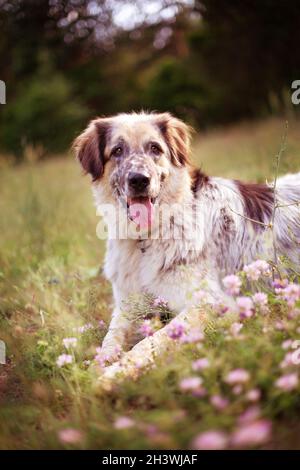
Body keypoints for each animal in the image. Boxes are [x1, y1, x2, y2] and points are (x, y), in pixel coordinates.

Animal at [73, 112, 300, 362]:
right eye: (117, 150)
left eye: (155, 148)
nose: (139, 180)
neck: (146, 239)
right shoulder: (127, 307)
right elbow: (109, 342)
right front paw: (97, 366)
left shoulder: (210, 303)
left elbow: (147, 344)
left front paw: (116, 370)